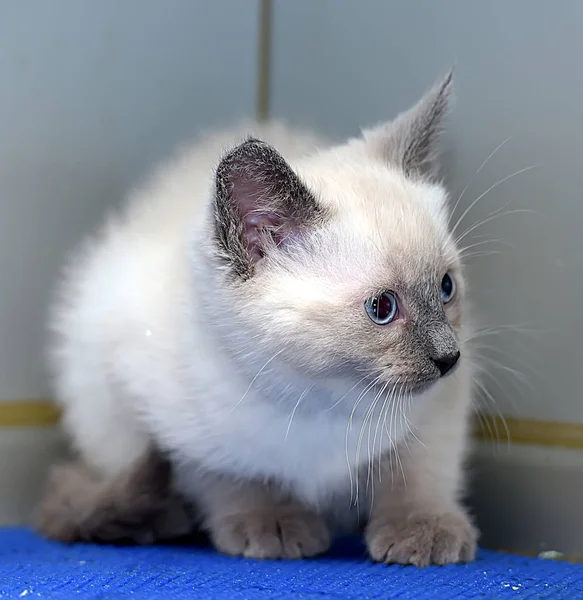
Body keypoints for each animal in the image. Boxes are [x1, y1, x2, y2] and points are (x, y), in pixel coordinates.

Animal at [36, 72, 480, 564]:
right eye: (382, 308)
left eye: (446, 287)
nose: (448, 357)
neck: (320, 400)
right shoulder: (172, 426)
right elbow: (235, 477)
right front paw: (273, 525)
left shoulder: (438, 408)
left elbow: (417, 472)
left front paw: (424, 531)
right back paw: (158, 518)